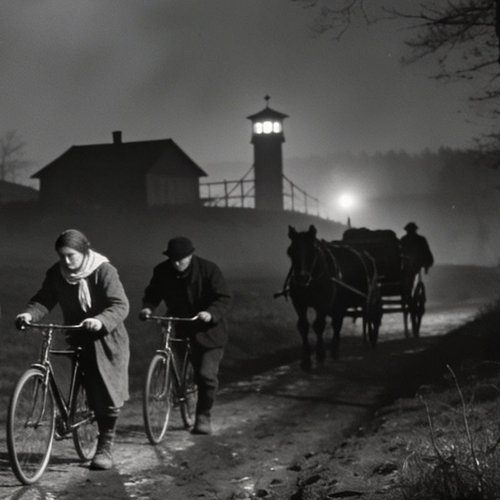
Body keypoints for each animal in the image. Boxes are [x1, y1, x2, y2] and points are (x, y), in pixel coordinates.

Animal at [282, 224, 380, 370]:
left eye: (312, 251)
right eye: (290, 252)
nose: (301, 278)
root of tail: (365, 255)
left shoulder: (322, 303)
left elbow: (319, 325)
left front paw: (320, 354)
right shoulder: (299, 303)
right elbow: (303, 325)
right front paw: (306, 358)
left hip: (364, 298)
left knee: (367, 316)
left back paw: (367, 340)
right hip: (340, 303)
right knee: (337, 322)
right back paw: (335, 349)